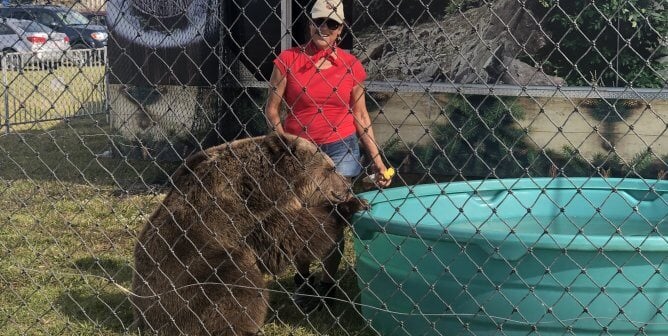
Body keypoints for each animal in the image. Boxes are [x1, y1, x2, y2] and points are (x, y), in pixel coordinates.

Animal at [132, 133, 366, 334]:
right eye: (330, 169)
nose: (347, 187)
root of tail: (143, 318)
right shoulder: (246, 215)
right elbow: (292, 235)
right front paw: (348, 207)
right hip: (194, 273)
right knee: (237, 287)